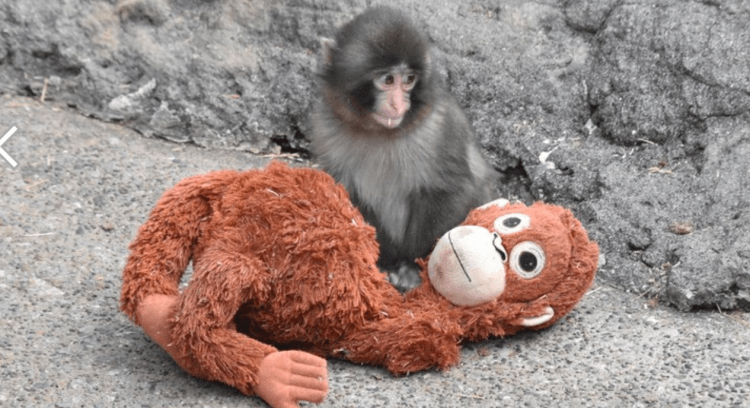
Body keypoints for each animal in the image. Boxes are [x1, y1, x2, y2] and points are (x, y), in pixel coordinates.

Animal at [309, 6, 496, 291]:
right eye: (388, 79)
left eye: (409, 80)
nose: (398, 104)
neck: (377, 131)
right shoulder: (325, 128)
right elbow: (348, 196)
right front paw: (384, 263)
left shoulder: (439, 126)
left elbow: (452, 190)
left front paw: (411, 266)